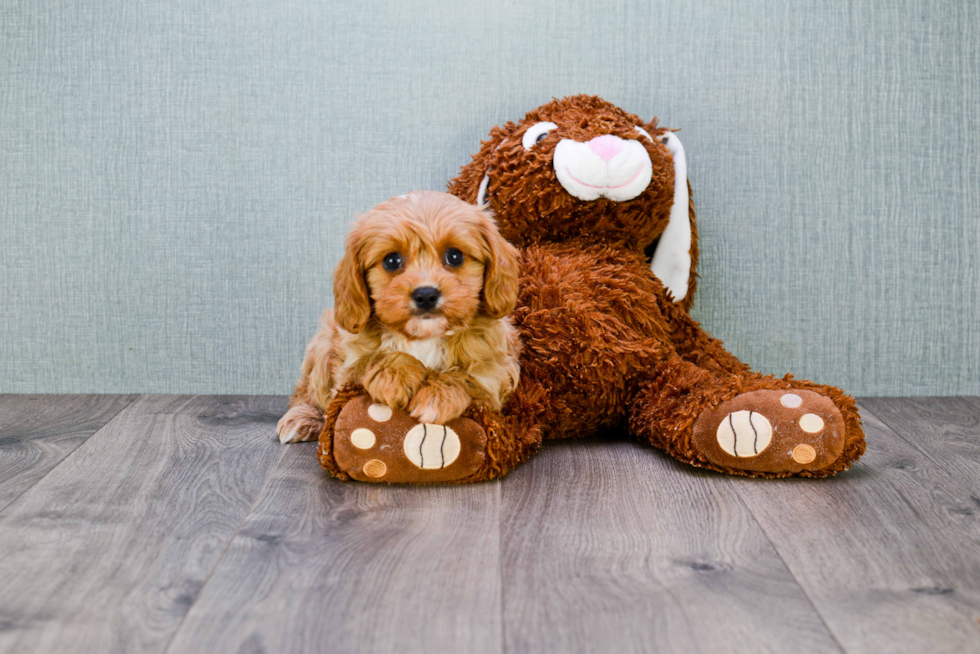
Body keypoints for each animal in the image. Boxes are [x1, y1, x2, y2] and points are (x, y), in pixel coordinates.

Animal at [276, 191, 520, 446]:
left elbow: (464, 376)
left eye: (454, 256)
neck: (423, 337)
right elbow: (373, 359)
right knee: (306, 393)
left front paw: (437, 395)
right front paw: (395, 375)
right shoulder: (348, 369)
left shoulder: (493, 374)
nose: (426, 295)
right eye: (391, 261)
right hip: (323, 345)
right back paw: (302, 418)